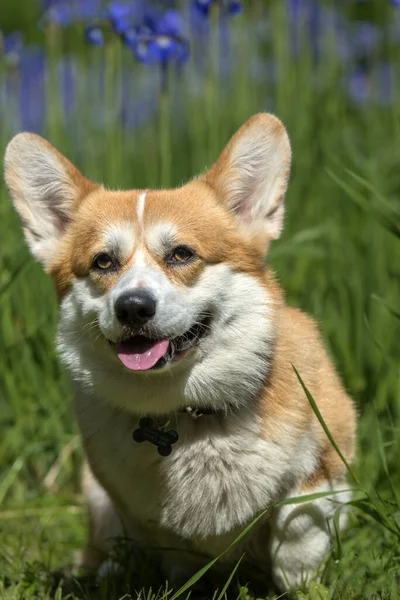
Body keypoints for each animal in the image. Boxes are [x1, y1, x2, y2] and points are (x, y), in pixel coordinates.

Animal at [4, 113, 354, 592]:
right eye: (102, 262)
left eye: (181, 254)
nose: (133, 307)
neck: (185, 414)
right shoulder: (133, 508)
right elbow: (169, 554)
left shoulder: (328, 460)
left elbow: (297, 525)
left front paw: (300, 582)